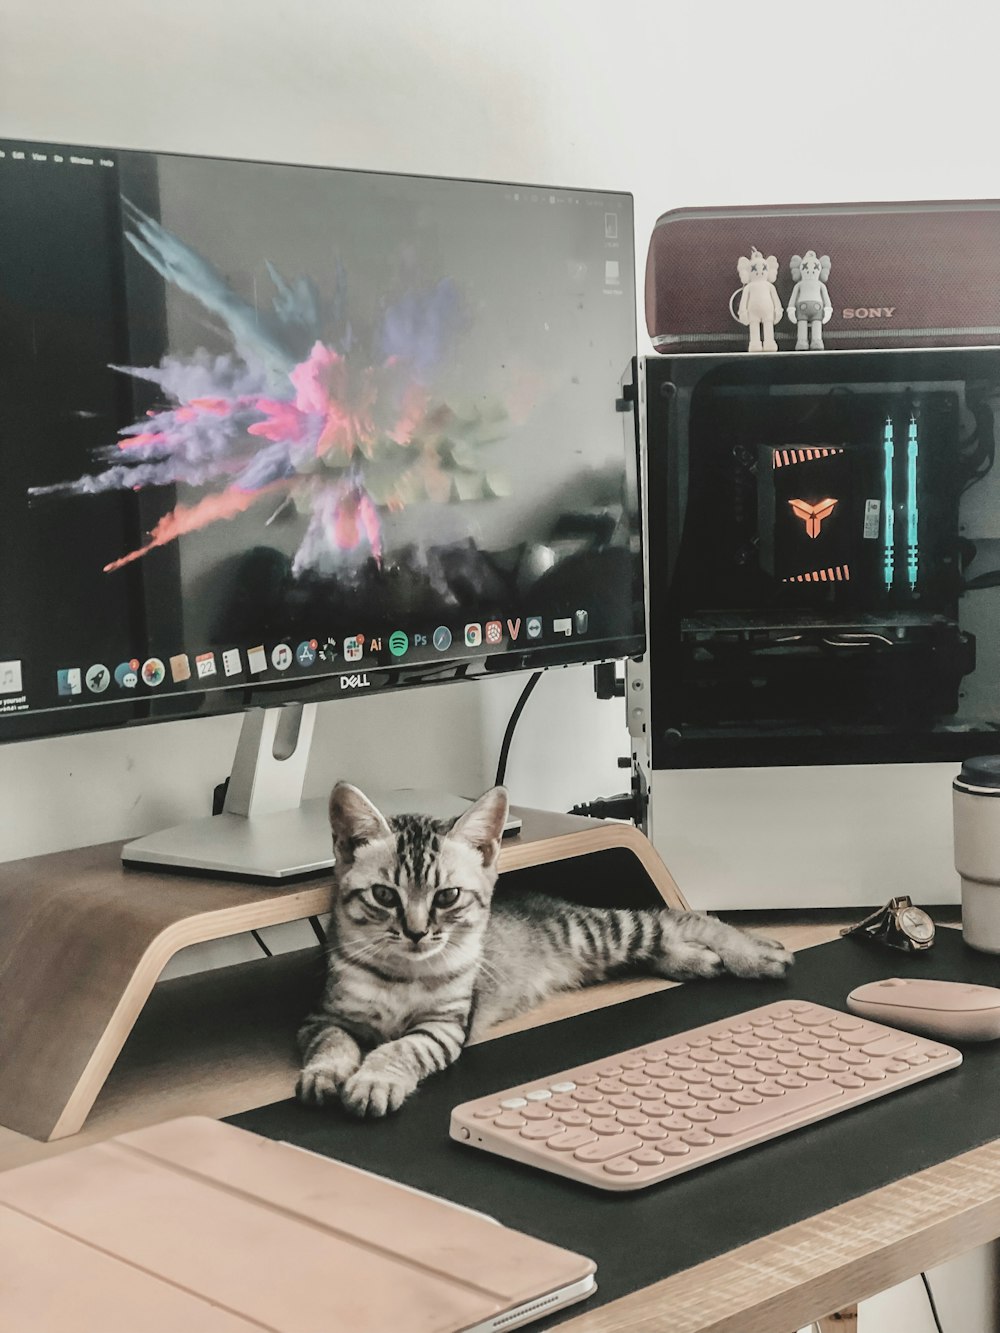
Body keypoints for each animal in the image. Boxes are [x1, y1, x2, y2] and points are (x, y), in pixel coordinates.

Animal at [293, 778, 794, 1114]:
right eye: (384, 895)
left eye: (447, 897)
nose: (417, 933)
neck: (401, 973)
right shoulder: (322, 1016)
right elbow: (333, 1043)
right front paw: (325, 1073)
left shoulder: (445, 1026)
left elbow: (400, 1049)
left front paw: (374, 1080)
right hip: (600, 953)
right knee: (660, 944)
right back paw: (697, 961)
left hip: (600, 931)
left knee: (673, 919)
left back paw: (754, 953)